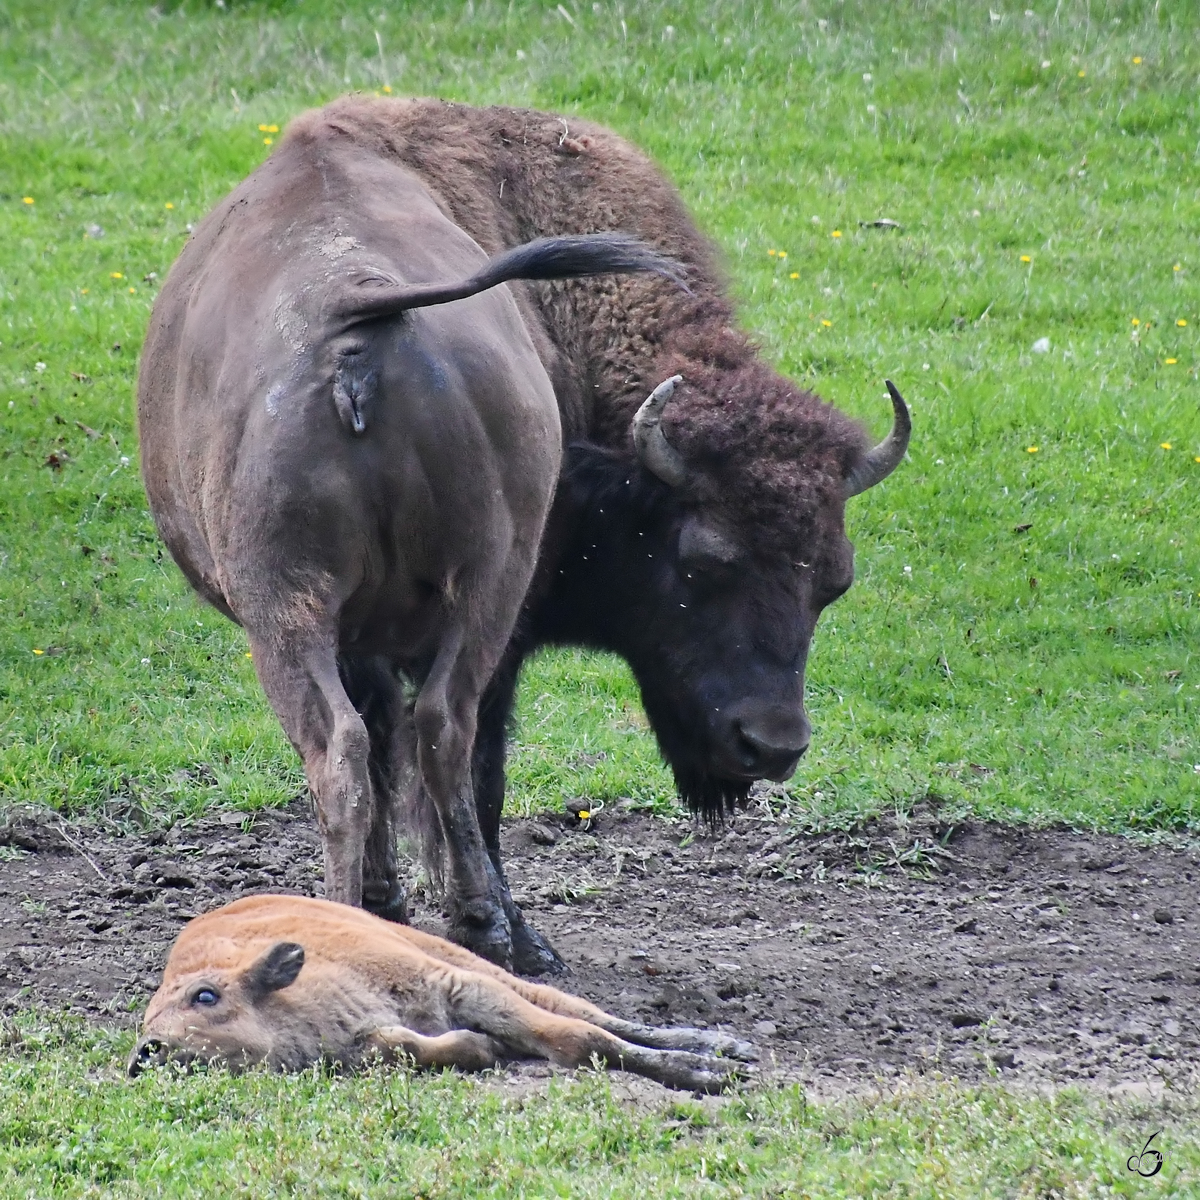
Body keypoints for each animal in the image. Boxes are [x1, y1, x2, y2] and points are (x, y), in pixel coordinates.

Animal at [126, 892, 753, 1099]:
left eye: (206, 997)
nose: (147, 1052)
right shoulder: (371, 1040)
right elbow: (410, 1048)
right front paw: (485, 1049)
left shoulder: (459, 985)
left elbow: (576, 1037)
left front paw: (707, 1074)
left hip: (467, 961)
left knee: (583, 1010)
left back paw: (723, 1046)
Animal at [138, 96, 907, 974]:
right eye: (700, 563)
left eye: (834, 581)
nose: (771, 746)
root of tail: (359, 313)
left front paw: (395, 905)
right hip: (433, 601)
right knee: (424, 740)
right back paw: (482, 928)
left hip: (324, 611)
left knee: (375, 743)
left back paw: (413, 922)